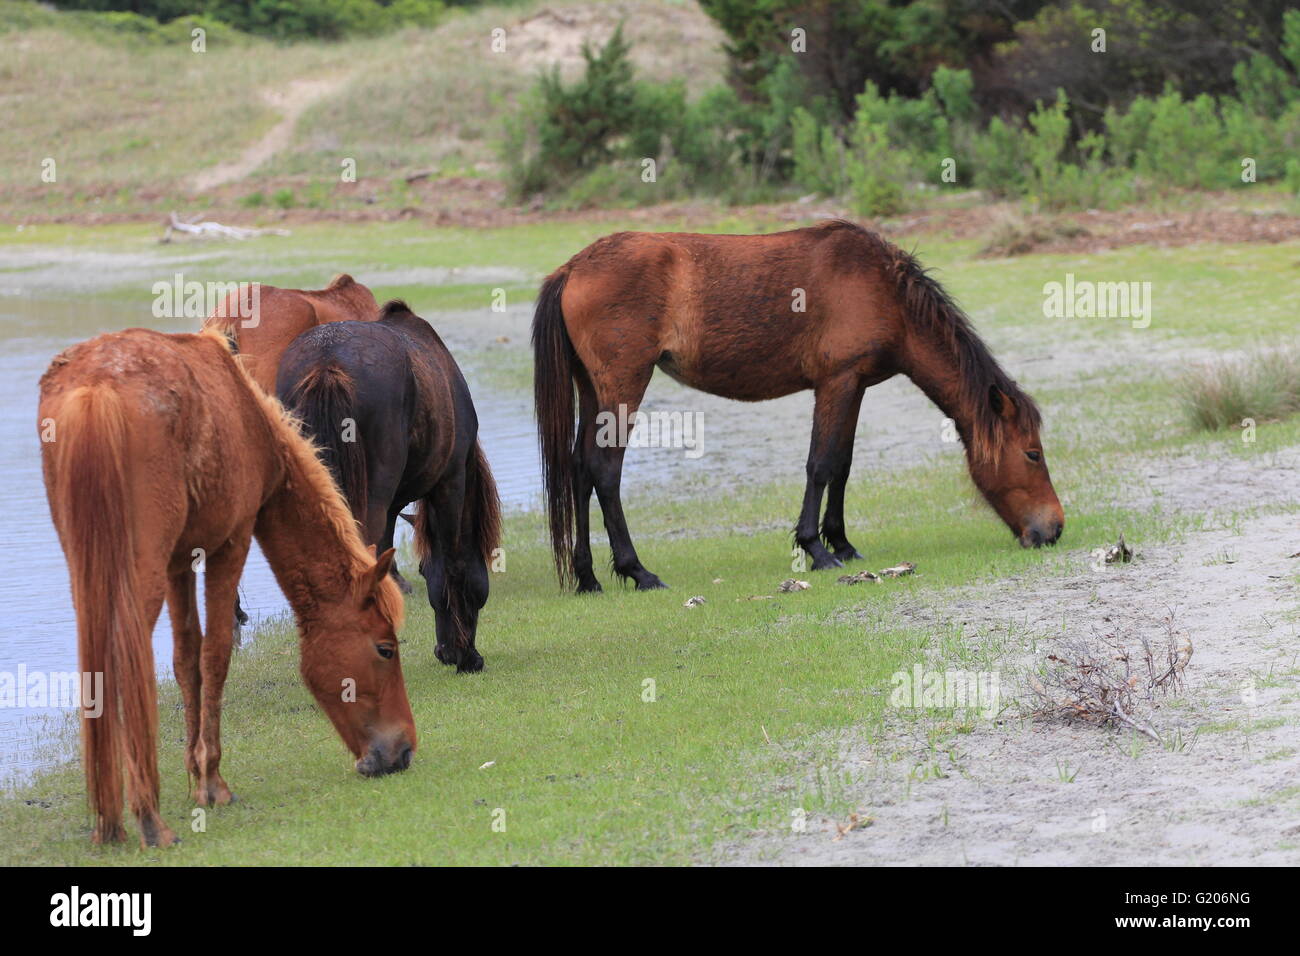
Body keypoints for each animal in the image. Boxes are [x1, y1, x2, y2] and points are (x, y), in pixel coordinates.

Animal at [39, 328, 415, 848]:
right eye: (385, 649)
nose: (404, 751)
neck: (250, 416)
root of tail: (96, 389)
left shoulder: (179, 563)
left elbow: (185, 660)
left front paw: (193, 776)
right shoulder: (229, 544)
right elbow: (214, 655)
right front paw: (213, 782)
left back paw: (107, 821)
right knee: (125, 663)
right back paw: (148, 819)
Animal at [276, 300, 501, 673]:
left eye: (421, 568)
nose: (443, 651)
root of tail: (327, 361)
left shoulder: (395, 506)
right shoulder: (450, 482)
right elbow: (453, 563)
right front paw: (467, 657)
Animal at [532, 220, 1064, 592]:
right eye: (1032, 454)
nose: (1054, 528)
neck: (883, 292)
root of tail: (574, 268)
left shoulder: (856, 386)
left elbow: (842, 465)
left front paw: (842, 542)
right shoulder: (836, 382)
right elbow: (820, 464)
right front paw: (816, 549)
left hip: (593, 390)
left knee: (579, 470)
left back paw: (588, 577)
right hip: (623, 387)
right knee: (605, 472)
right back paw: (637, 571)